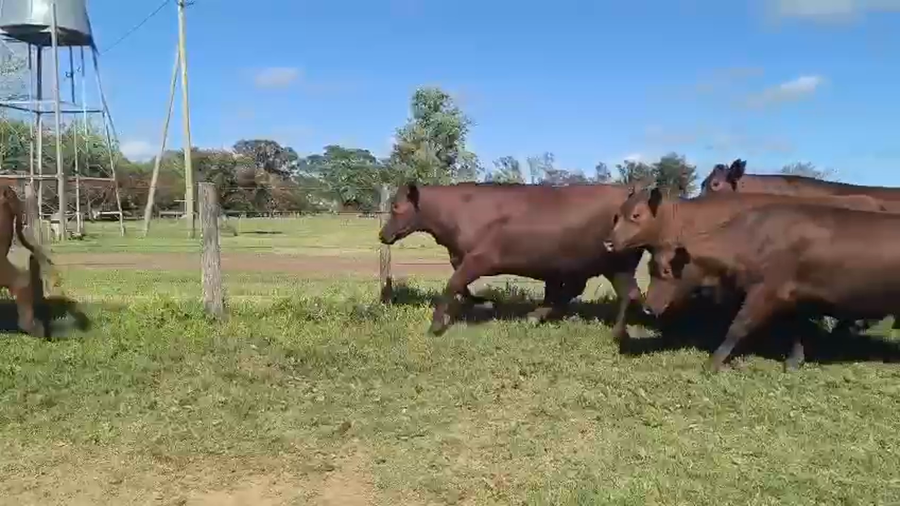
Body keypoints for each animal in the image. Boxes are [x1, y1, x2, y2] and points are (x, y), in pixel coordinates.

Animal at [378, 181, 645, 339]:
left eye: (396, 206)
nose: (382, 234)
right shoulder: (461, 258)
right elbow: (462, 288)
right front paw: (483, 302)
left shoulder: (479, 258)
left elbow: (452, 284)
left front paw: (435, 325)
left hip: (615, 265)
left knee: (627, 294)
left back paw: (618, 332)